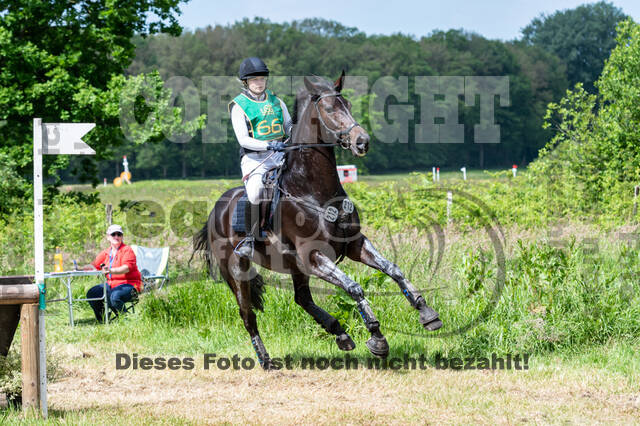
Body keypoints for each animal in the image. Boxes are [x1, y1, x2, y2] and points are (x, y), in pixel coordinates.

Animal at [193, 72, 442, 369]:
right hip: (236, 270)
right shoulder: (314, 256)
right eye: (330, 109)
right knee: (247, 314)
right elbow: (354, 287)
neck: (313, 191)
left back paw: (340, 334)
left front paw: (426, 312)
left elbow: (393, 269)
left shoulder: (354, 244)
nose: (362, 141)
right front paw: (377, 337)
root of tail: (214, 212)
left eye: (348, 104)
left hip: (294, 265)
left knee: (301, 299)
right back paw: (265, 360)